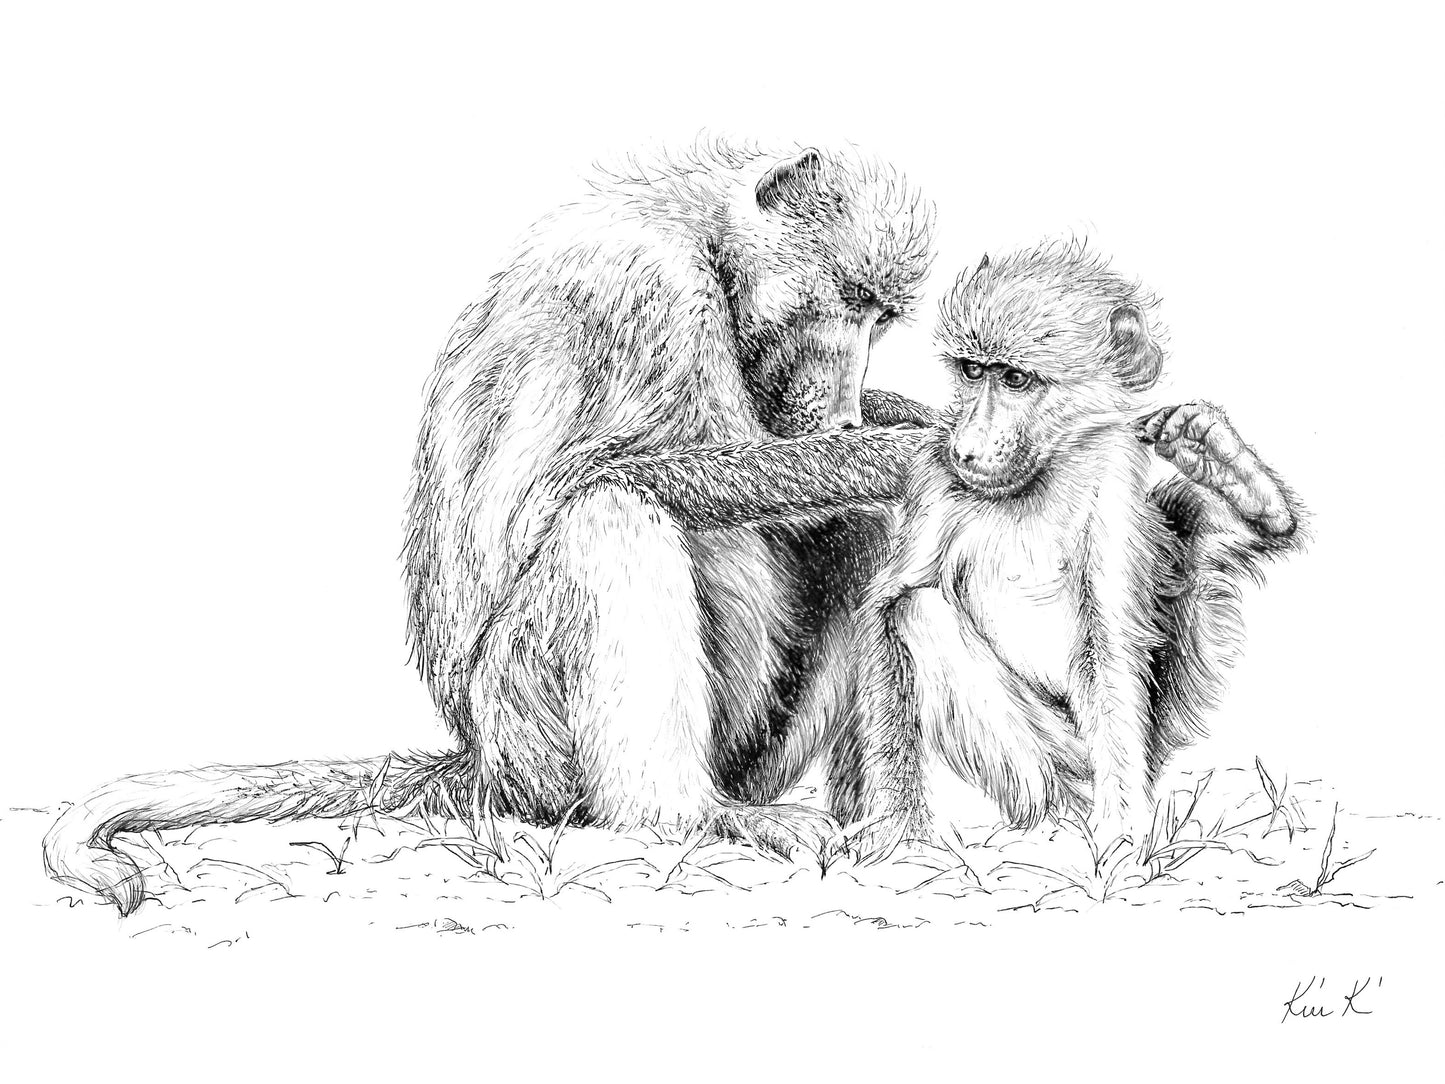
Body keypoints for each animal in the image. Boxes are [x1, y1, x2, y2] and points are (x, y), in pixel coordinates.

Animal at [42, 140, 948, 914]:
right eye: (849, 303)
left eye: (880, 318)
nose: (843, 400)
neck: (705, 232)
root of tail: (483, 759)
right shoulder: (647, 293)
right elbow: (637, 474)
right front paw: (908, 449)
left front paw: (905, 422)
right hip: (530, 724)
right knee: (608, 517)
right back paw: (687, 816)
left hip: (742, 747)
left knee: (860, 535)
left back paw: (883, 828)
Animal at [827, 242, 1304, 856]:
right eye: (974, 371)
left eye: (1015, 378)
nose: (969, 446)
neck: (1041, 475)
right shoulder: (932, 479)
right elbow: (889, 604)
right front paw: (900, 829)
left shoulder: (1114, 478)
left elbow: (1112, 639)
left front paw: (1122, 831)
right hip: (1057, 752)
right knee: (921, 611)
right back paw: (1045, 817)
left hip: (1117, 739)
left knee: (1190, 536)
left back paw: (1241, 484)